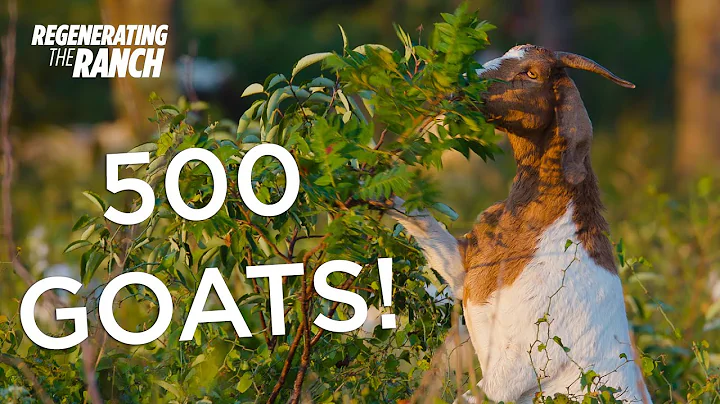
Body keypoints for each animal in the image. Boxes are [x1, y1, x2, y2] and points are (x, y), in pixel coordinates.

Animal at [387, 45, 651, 403]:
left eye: (532, 73)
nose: (460, 85)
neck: (552, 224)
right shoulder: (466, 271)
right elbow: (425, 225)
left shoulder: (521, 361)